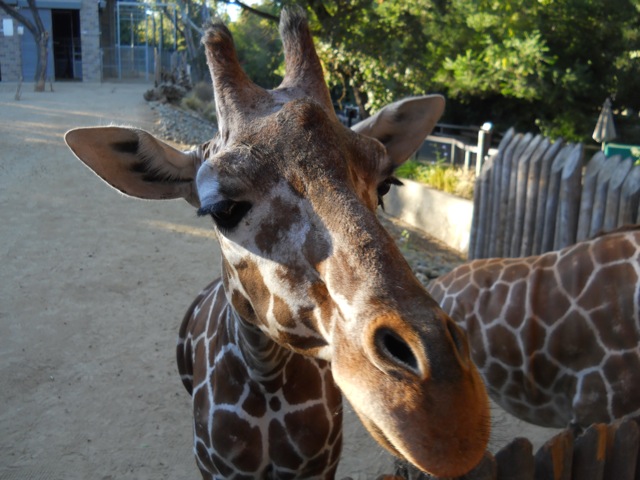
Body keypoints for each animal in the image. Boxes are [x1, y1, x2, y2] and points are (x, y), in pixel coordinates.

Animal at [64, 9, 490, 479]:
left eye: (385, 186)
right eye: (222, 208)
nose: (446, 412)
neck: (267, 377)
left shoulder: (321, 466)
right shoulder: (213, 467)